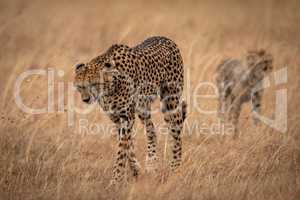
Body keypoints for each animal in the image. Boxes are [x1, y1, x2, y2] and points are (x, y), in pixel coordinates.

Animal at [74, 36, 186, 184]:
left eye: (95, 84)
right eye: (80, 86)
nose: (86, 99)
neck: (111, 86)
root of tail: (164, 38)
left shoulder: (127, 117)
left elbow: (122, 149)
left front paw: (116, 179)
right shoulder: (117, 118)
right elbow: (128, 145)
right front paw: (135, 169)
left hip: (171, 104)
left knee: (176, 134)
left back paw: (175, 168)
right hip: (142, 109)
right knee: (151, 131)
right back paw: (151, 164)